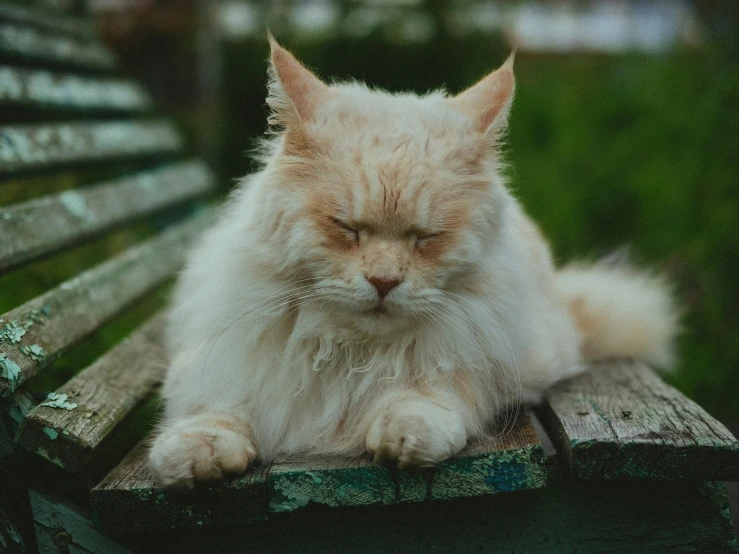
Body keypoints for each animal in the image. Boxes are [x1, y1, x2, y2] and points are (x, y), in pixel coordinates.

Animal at [147, 38, 680, 486]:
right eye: (347, 227)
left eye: (426, 237)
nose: (384, 282)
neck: (349, 352)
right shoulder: (224, 363)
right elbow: (219, 406)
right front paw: (195, 453)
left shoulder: (473, 360)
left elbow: (425, 394)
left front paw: (403, 435)